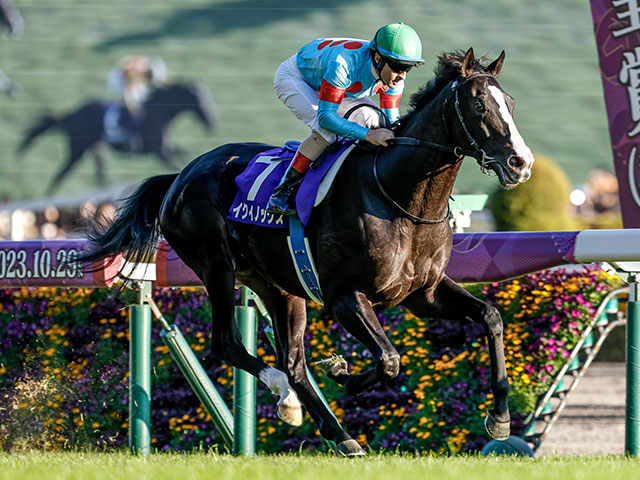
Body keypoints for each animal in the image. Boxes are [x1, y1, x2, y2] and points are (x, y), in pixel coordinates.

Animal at [17, 82, 216, 194]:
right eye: (200, 100)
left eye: (207, 99)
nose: (211, 123)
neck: (158, 113)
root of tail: (71, 115)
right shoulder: (159, 152)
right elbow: (176, 164)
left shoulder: (165, 149)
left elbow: (184, 154)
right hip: (77, 150)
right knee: (60, 174)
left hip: (97, 148)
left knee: (99, 175)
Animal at [78, 48, 534, 455]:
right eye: (479, 105)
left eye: (510, 103)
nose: (521, 163)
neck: (400, 197)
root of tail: (179, 176)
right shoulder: (345, 297)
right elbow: (389, 359)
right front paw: (343, 373)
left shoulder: (423, 294)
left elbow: (490, 316)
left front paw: (500, 418)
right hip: (217, 267)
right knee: (228, 345)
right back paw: (290, 396)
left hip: (277, 286)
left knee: (293, 362)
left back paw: (334, 431)